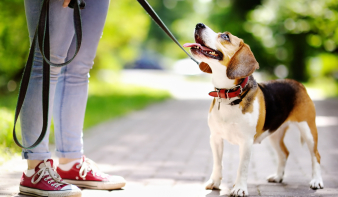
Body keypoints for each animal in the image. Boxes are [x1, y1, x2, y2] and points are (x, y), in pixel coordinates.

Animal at [184, 22, 324, 195]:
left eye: (225, 36)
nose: (199, 24)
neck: (229, 95)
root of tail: (298, 83)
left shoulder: (246, 142)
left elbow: (242, 167)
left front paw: (239, 188)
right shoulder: (215, 138)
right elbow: (217, 163)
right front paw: (215, 182)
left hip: (308, 130)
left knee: (316, 155)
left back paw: (316, 181)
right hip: (274, 134)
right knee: (284, 153)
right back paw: (278, 176)